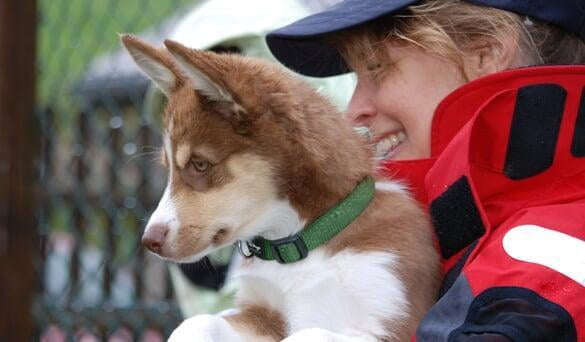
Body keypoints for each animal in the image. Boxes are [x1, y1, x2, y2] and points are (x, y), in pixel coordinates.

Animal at [120, 34, 438, 342]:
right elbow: (197, 323)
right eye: (168, 168)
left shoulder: (388, 319)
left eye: (200, 164)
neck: (299, 242)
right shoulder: (261, 314)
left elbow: (310, 333)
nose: (149, 241)